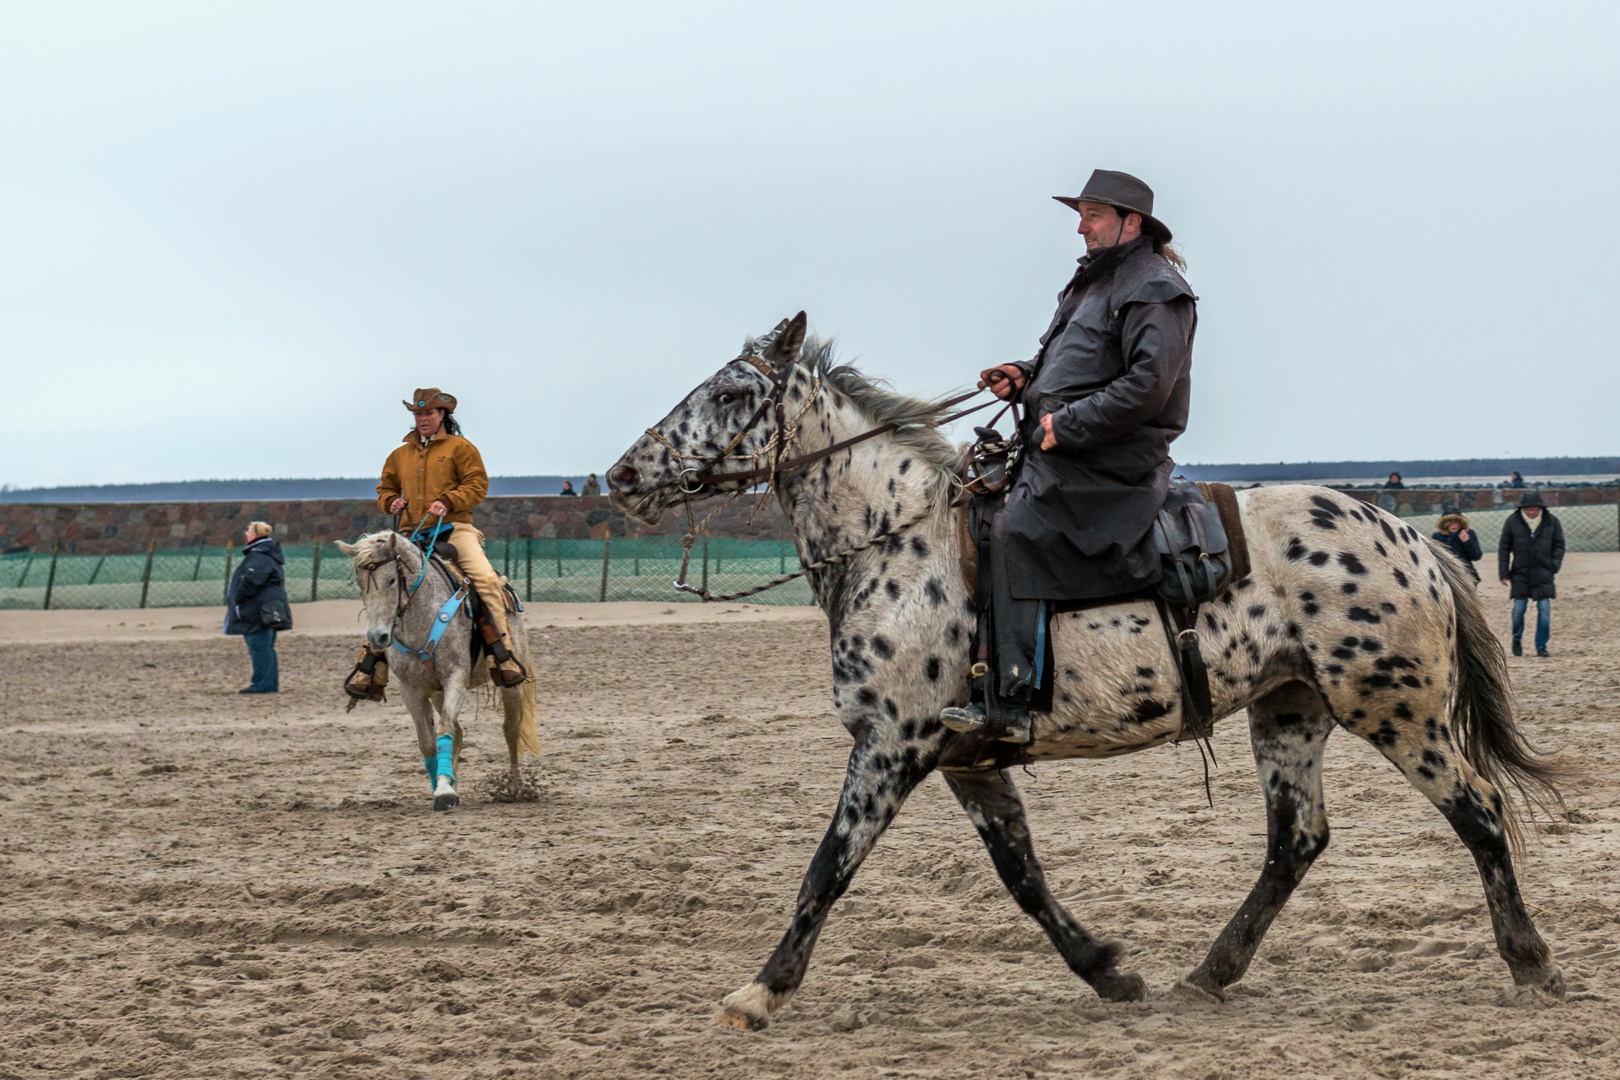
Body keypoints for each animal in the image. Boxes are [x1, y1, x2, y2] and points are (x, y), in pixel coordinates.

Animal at [336, 531, 544, 809]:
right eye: (361, 584)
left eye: (392, 580)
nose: (377, 637)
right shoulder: (412, 690)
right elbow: (428, 743)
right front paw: (442, 786)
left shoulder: (455, 677)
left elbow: (444, 729)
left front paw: (444, 791)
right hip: (437, 692)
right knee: (460, 733)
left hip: (510, 684)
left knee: (510, 729)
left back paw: (515, 786)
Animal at [609, 310, 1568, 1029]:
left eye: (731, 392)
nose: (620, 474)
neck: (900, 540)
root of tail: (1410, 537)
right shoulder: (966, 761)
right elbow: (1022, 877)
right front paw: (1108, 969)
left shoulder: (889, 747)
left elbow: (828, 867)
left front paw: (759, 991)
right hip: (1290, 712)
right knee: (1296, 840)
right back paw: (1211, 971)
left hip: (1398, 712)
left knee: (1478, 812)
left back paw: (1532, 962)